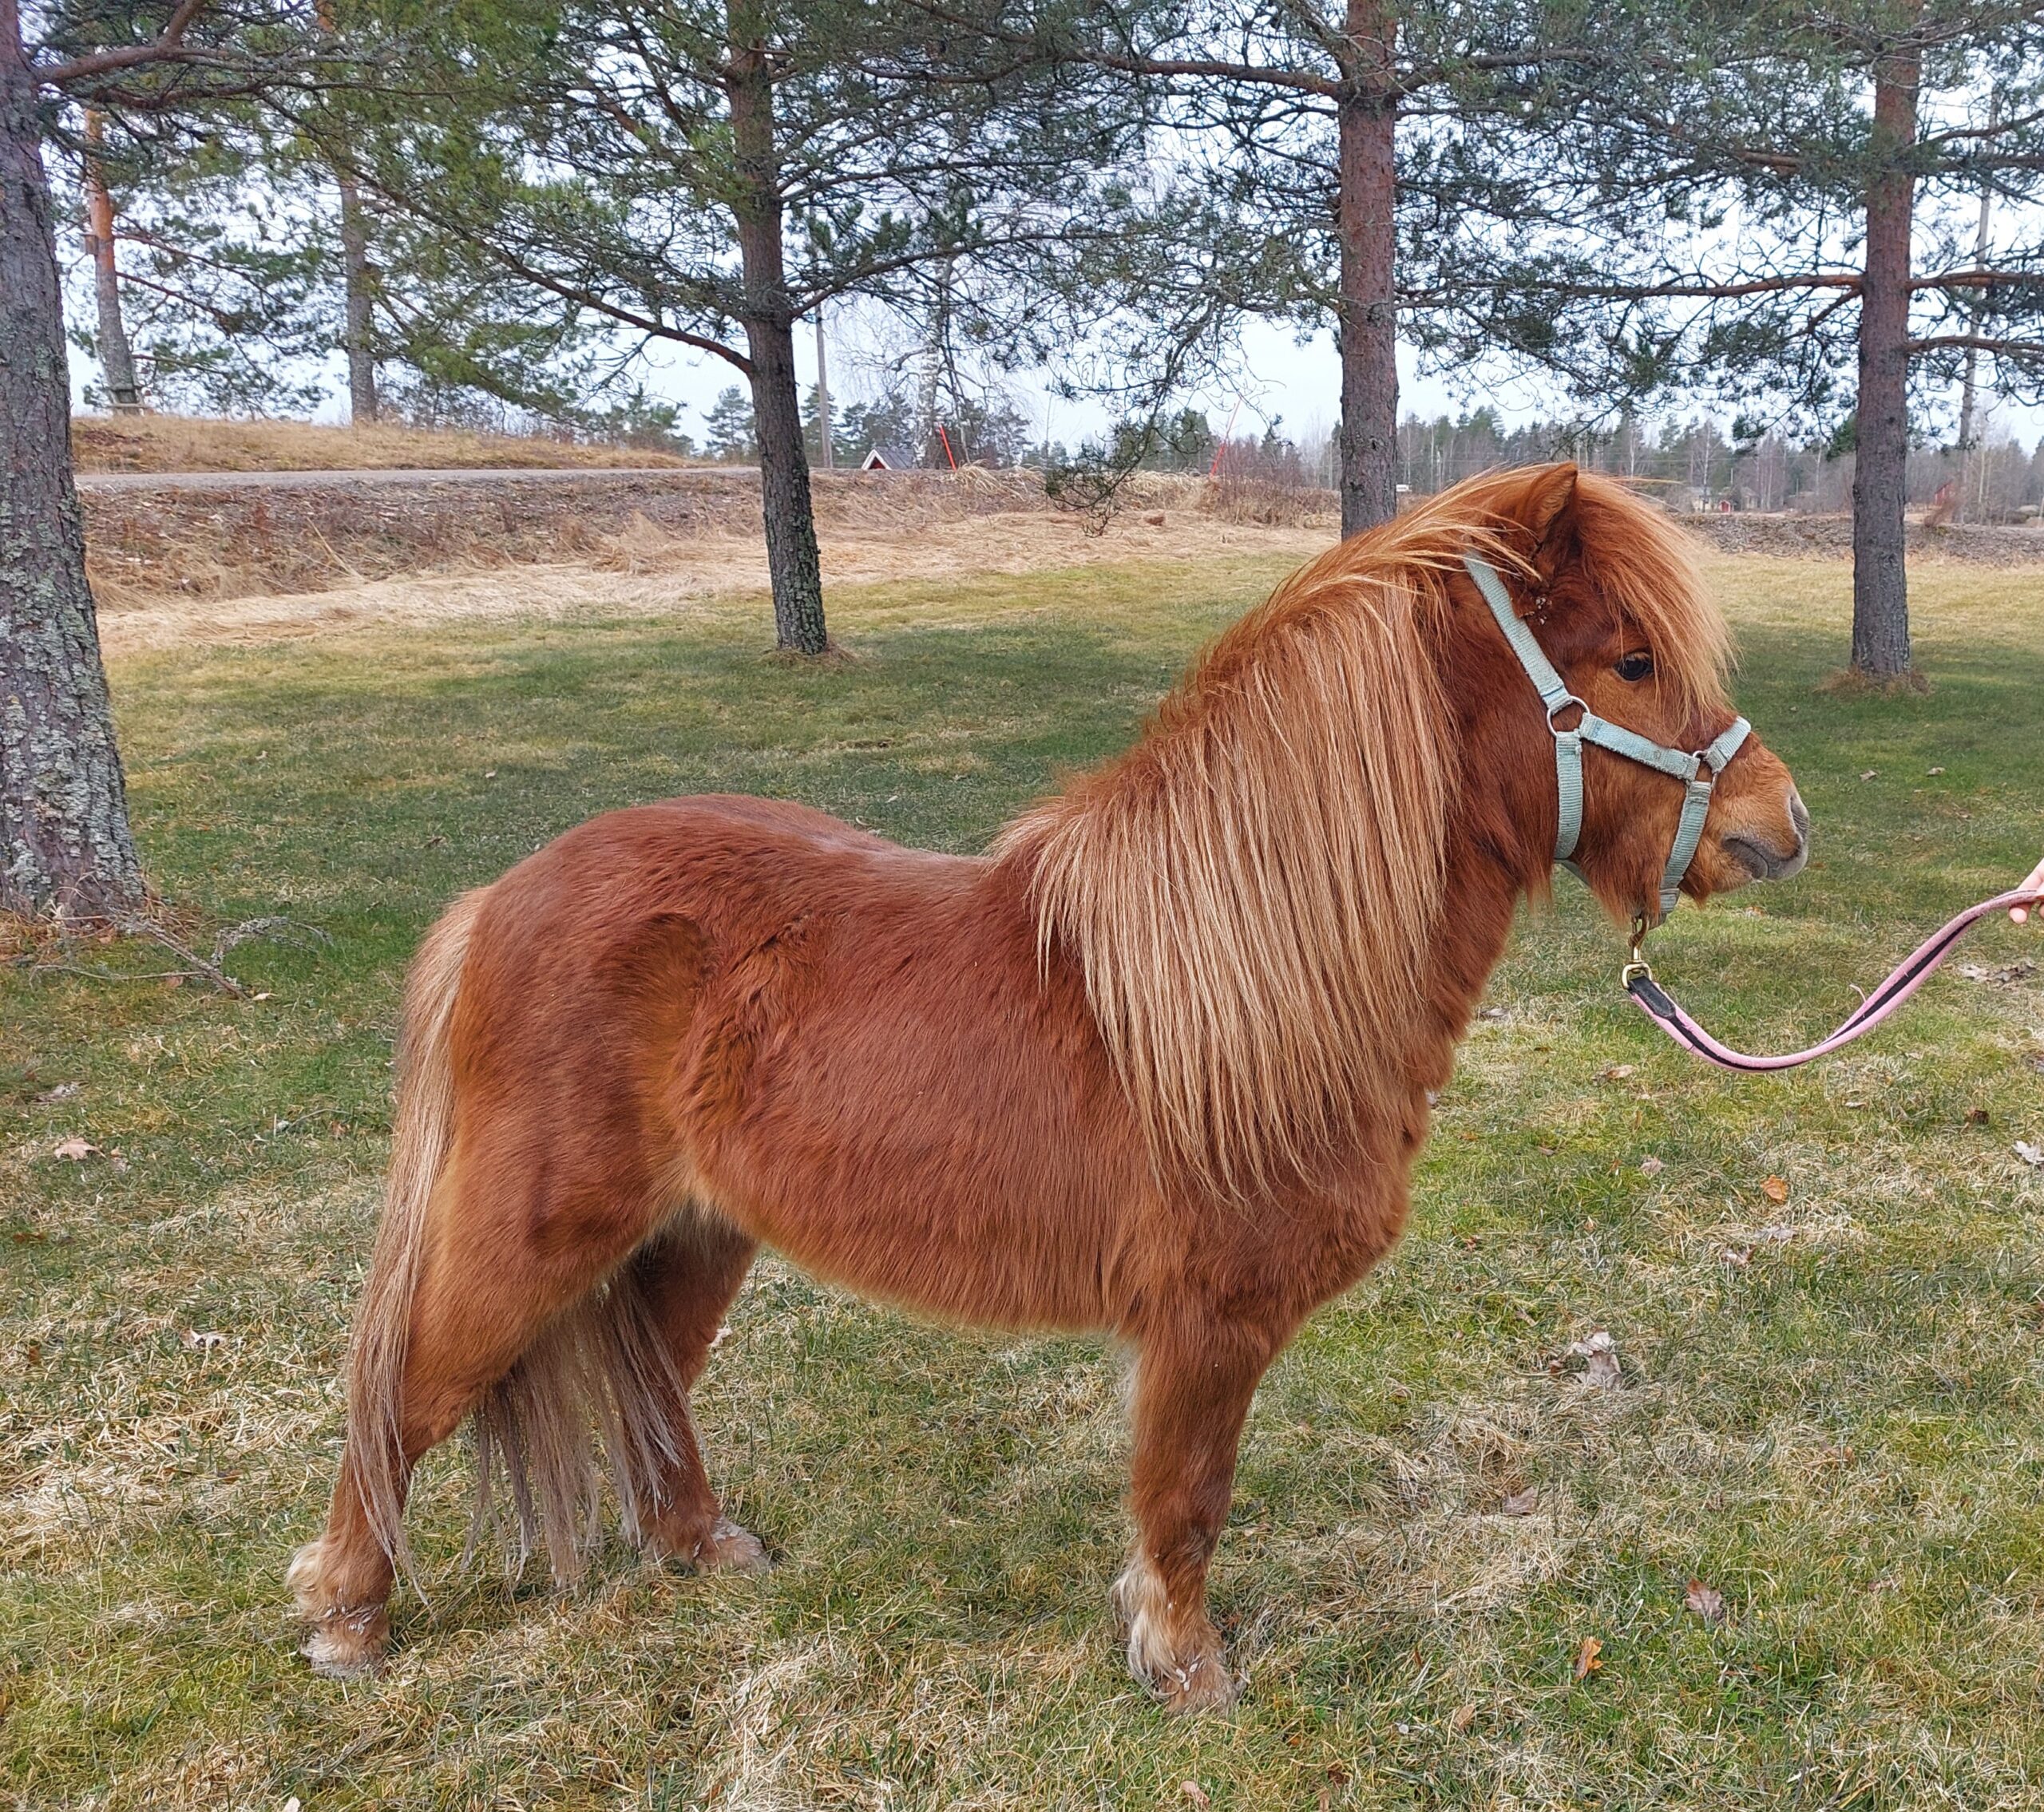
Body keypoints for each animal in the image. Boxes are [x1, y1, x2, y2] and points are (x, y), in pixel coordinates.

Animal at [289, 462, 1810, 1712]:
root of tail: (497, 900)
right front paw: (1186, 1667)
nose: (1778, 826)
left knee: (648, 1381)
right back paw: (350, 1617)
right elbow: (1188, 1497)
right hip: (531, 1234)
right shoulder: (1204, 1322)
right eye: (1630, 661)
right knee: (406, 1392)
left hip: (699, 1232)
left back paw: (700, 1550)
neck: (1242, 970)